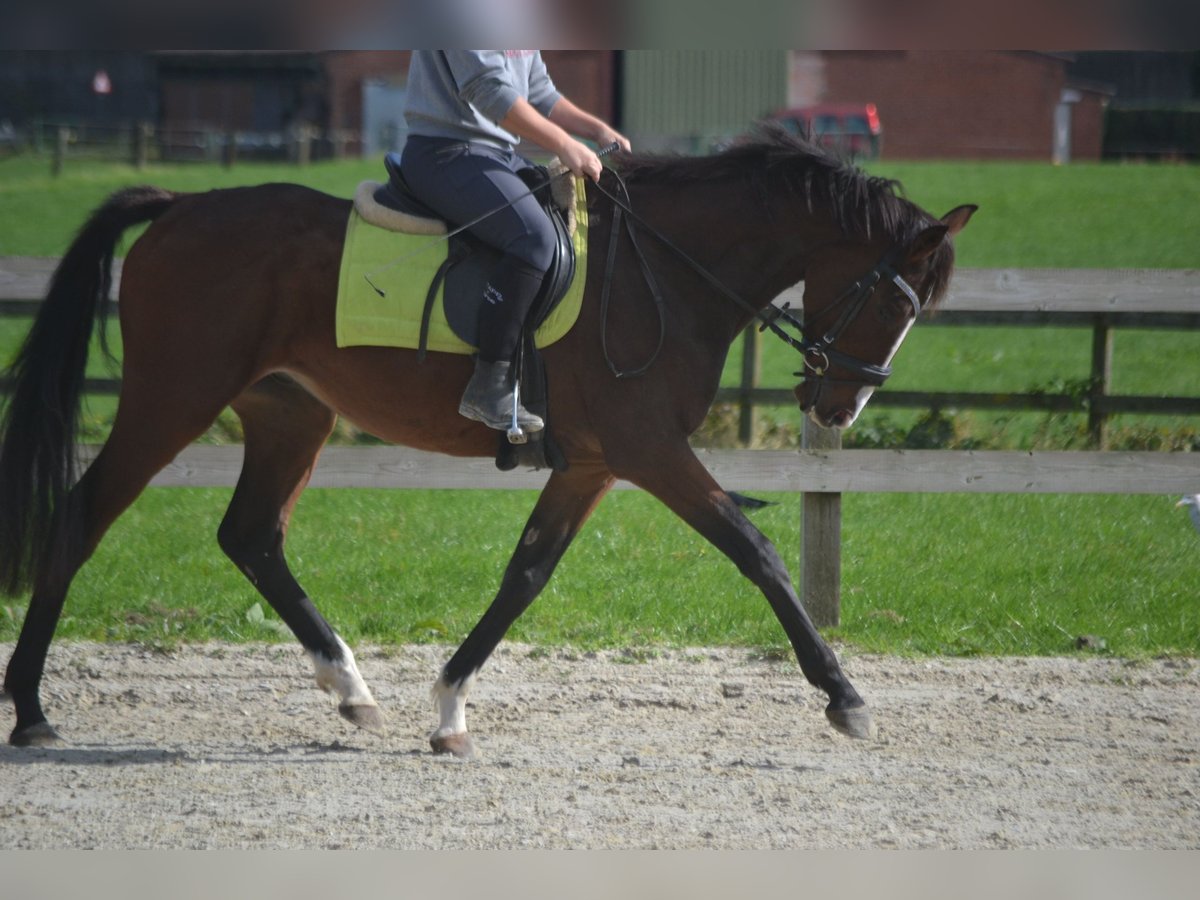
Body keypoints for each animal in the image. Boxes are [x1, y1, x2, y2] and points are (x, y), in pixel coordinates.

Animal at [0, 130, 974, 758]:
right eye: (893, 304)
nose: (839, 407)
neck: (667, 269)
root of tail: (182, 207)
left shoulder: (593, 464)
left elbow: (526, 575)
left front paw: (447, 710)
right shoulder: (649, 451)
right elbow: (759, 553)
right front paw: (846, 699)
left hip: (289, 414)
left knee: (251, 535)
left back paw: (351, 689)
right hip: (173, 398)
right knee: (83, 515)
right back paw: (32, 710)